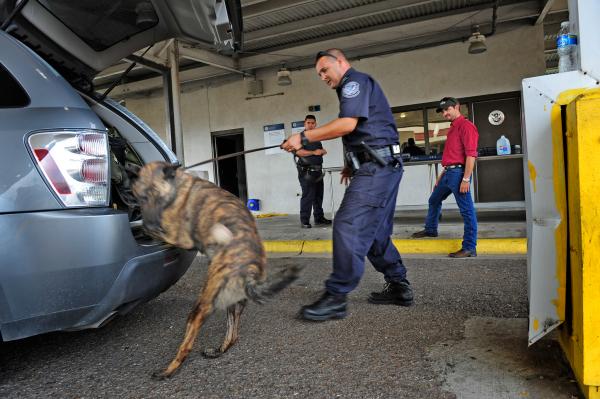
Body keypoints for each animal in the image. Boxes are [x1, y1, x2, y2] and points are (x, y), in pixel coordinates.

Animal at [133, 162, 298, 382]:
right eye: (142, 196)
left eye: (154, 195)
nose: (148, 222)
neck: (179, 185)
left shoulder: (178, 235)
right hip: (232, 305)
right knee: (233, 334)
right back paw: (219, 350)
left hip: (201, 306)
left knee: (187, 345)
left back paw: (168, 370)